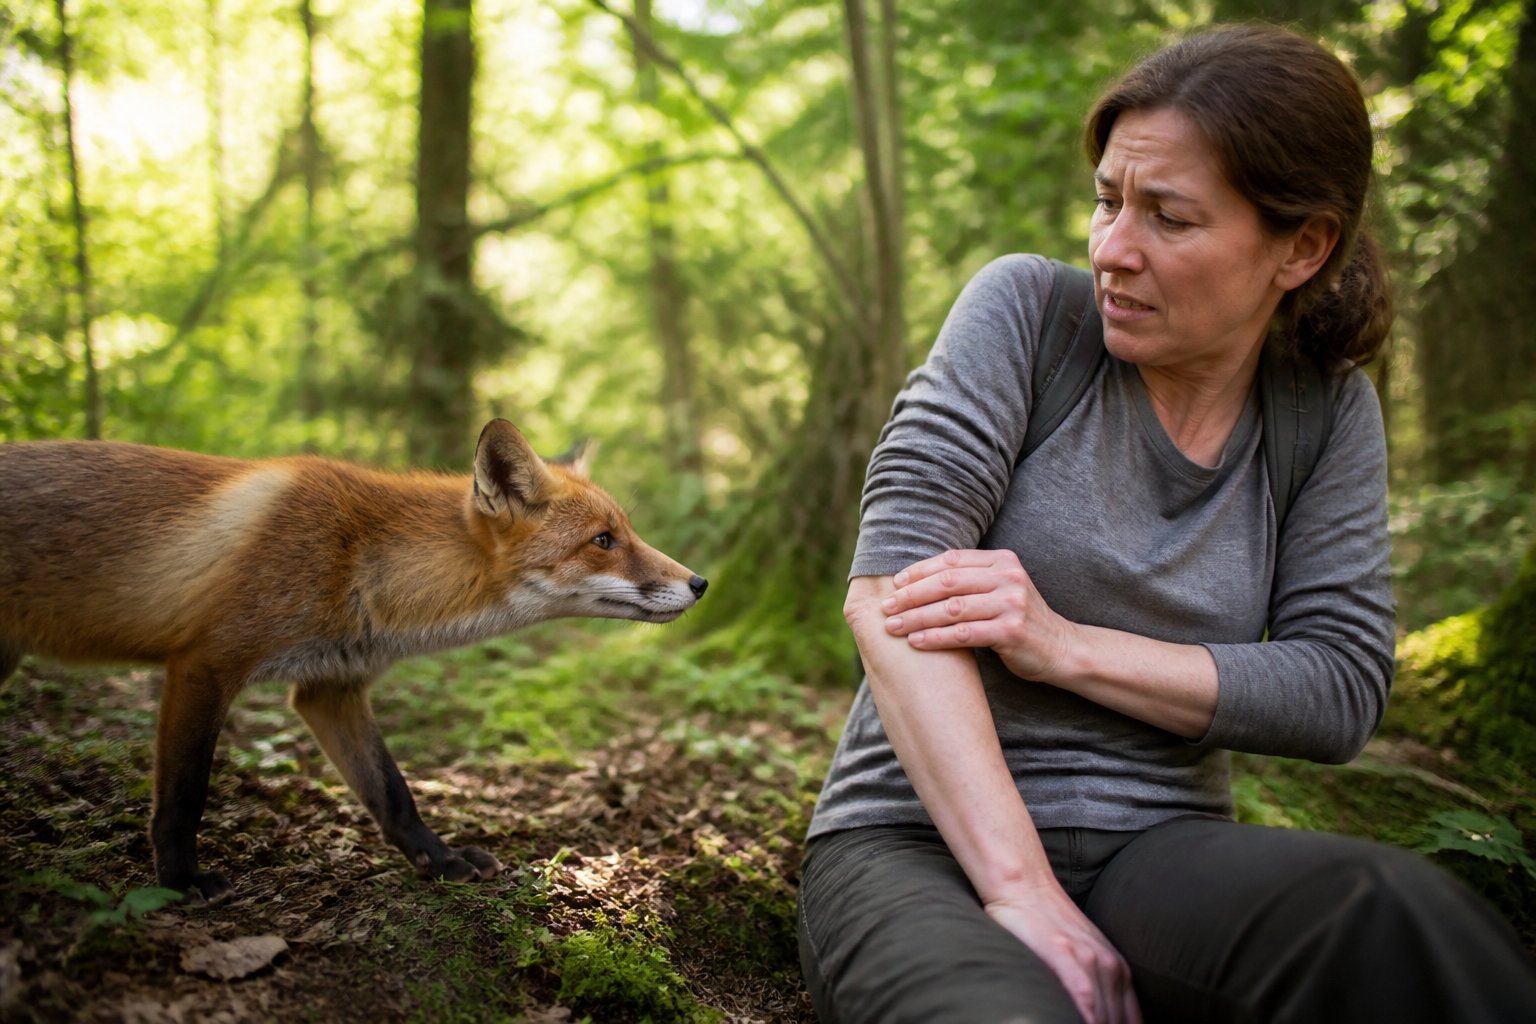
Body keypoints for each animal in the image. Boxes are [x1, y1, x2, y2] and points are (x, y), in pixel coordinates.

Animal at [0, 418, 707, 902]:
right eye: (603, 541)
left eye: (626, 532)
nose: (701, 582)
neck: (359, 563)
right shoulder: (204, 663)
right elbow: (184, 793)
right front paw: (179, 882)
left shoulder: (330, 686)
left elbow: (392, 792)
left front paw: (439, 860)